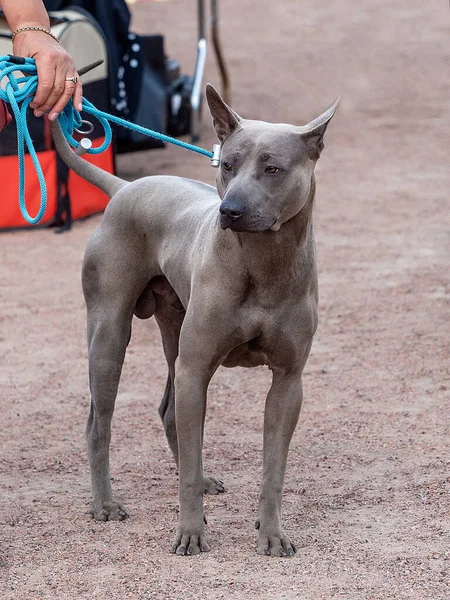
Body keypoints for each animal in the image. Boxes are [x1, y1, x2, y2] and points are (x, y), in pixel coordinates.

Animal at [51, 85, 336, 556]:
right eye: (228, 164)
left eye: (272, 168)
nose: (230, 209)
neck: (263, 263)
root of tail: (125, 187)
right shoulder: (196, 368)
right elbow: (188, 458)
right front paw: (189, 532)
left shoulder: (288, 381)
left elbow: (273, 470)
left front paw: (272, 533)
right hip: (111, 336)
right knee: (99, 423)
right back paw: (105, 504)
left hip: (174, 334)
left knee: (169, 411)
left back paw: (200, 480)